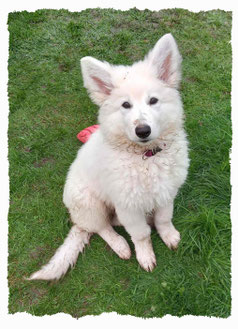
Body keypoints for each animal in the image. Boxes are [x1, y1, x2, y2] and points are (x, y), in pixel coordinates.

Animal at [27, 32, 189, 280]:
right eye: (125, 105)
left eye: (153, 100)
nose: (143, 130)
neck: (146, 157)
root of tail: (78, 219)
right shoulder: (127, 205)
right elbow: (141, 234)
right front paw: (145, 256)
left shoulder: (166, 191)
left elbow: (164, 218)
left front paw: (169, 235)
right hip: (89, 203)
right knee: (101, 227)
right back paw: (120, 245)